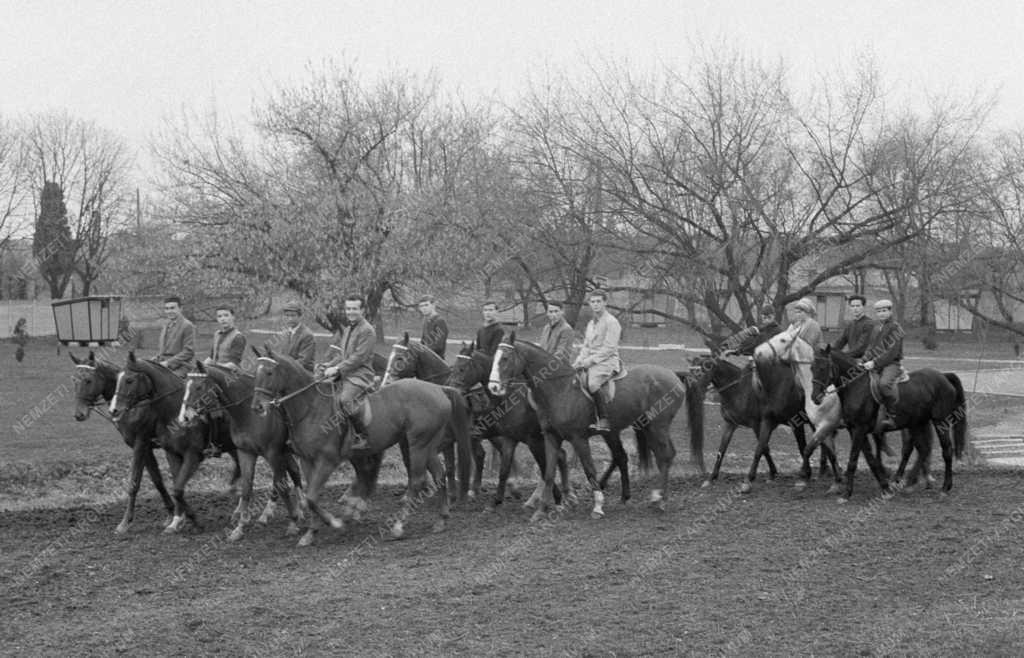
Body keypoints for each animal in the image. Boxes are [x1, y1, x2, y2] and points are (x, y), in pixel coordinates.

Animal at [251, 347, 471, 544]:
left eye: (269, 372)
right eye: (255, 373)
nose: (257, 407)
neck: (311, 408)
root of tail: (438, 388)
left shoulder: (327, 461)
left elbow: (312, 497)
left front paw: (336, 523)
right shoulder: (307, 461)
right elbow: (309, 497)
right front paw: (311, 533)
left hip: (418, 445)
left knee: (417, 481)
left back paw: (398, 527)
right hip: (428, 446)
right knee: (439, 475)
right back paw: (441, 520)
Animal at [487, 337, 704, 521]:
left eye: (505, 359)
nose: (494, 387)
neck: (559, 388)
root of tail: (672, 374)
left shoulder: (578, 439)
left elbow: (589, 470)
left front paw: (597, 507)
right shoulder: (550, 437)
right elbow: (548, 472)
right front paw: (540, 511)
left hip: (658, 427)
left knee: (664, 455)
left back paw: (660, 500)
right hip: (645, 428)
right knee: (649, 456)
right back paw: (648, 497)